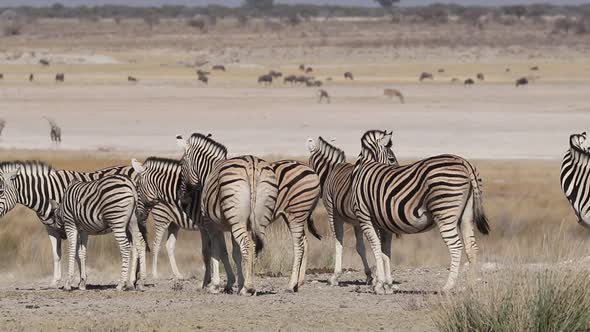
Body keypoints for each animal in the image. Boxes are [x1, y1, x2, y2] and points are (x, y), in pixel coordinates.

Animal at [0, 161, 190, 288]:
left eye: (0, 191)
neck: (48, 194)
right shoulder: (52, 228)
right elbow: (58, 254)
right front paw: (57, 281)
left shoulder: (72, 224)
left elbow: (76, 253)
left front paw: (78, 281)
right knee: (136, 245)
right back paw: (134, 280)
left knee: (134, 246)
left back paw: (131, 280)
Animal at [133, 154, 324, 292]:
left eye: (137, 187)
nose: (138, 214)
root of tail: (310, 169)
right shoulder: (221, 226)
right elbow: (228, 252)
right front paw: (231, 282)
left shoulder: (206, 226)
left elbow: (210, 252)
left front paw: (210, 283)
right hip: (294, 216)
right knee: (304, 242)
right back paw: (298, 282)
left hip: (295, 213)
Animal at [178, 134, 280, 294]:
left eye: (182, 163)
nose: (183, 199)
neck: (209, 170)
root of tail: (252, 165)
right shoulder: (231, 227)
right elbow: (235, 254)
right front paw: (238, 283)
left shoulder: (211, 225)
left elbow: (217, 252)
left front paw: (215, 285)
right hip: (259, 220)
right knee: (254, 246)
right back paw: (249, 286)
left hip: (237, 220)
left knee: (247, 245)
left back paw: (248, 288)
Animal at [308, 135, 400, 286]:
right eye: (392, 159)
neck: (331, 170)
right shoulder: (357, 221)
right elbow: (360, 247)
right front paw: (369, 275)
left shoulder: (333, 213)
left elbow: (338, 242)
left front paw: (335, 276)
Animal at [352, 130, 490, 294]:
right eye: (391, 158)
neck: (365, 167)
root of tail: (464, 162)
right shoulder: (383, 224)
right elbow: (385, 252)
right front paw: (387, 284)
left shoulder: (365, 217)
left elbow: (377, 249)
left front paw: (379, 285)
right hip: (466, 215)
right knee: (471, 247)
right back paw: (471, 286)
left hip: (445, 212)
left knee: (456, 246)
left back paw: (448, 286)